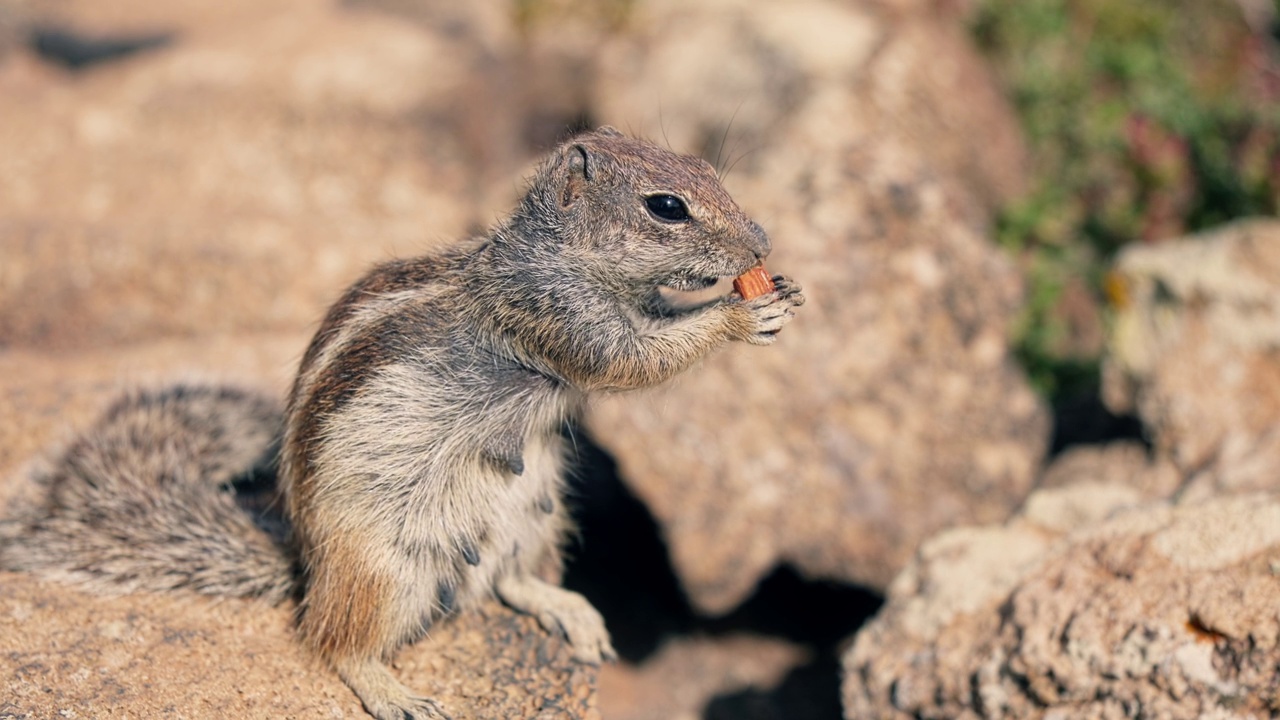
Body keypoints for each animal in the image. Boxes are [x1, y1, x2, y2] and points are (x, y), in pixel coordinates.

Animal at [0, 126, 798, 712]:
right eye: (667, 207)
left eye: (707, 166)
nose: (761, 243)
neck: (554, 253)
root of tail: (307, 563)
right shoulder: (556, 316)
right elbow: (635, 358)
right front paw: (739, 314)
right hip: (383, 569)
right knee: (333, 641)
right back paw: (392, 691)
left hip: (538, 510)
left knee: (508, 582)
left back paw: (568, 607)